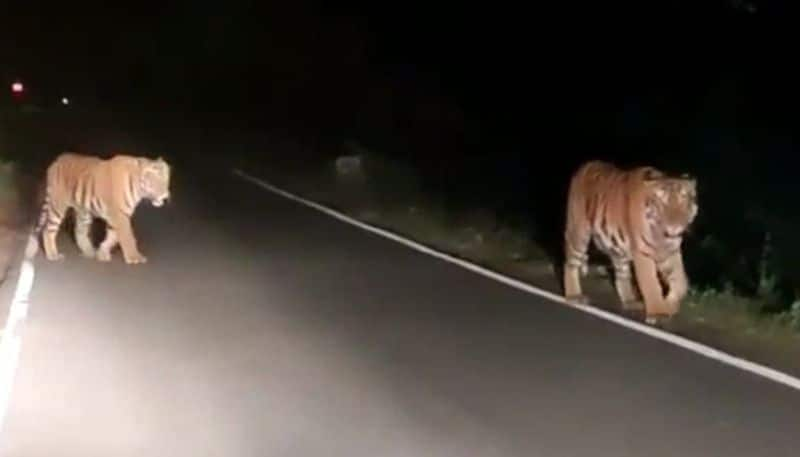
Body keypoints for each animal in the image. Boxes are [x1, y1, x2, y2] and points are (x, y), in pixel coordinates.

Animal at [27, 152, 170, 264]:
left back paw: (89, 252)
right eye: (155, 181)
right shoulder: (120, 216)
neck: (138, 190)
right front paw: (134, 257)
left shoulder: (117, 216)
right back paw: (53, 255)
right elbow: (128, 237)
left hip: (84, 212)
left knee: (79, 231)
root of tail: (56, 161)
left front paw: (102, 253)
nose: (165, 197)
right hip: (58, 206)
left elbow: (113, 237)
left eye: (166, 180)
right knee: (48, 230)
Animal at [564, 160, 700, 324]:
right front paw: (658, 312)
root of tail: (586, 166)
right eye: (661, 203)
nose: (674, 226)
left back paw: (630, 302)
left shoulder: (671, 252)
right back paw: (574, 296)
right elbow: (651, 284)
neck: (662, 236)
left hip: (617, 248)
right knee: (570, 264)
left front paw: (669, 305)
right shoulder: (643, 253)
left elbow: (681, 282)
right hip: (579, 232)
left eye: (683, 200)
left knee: (621, 275)